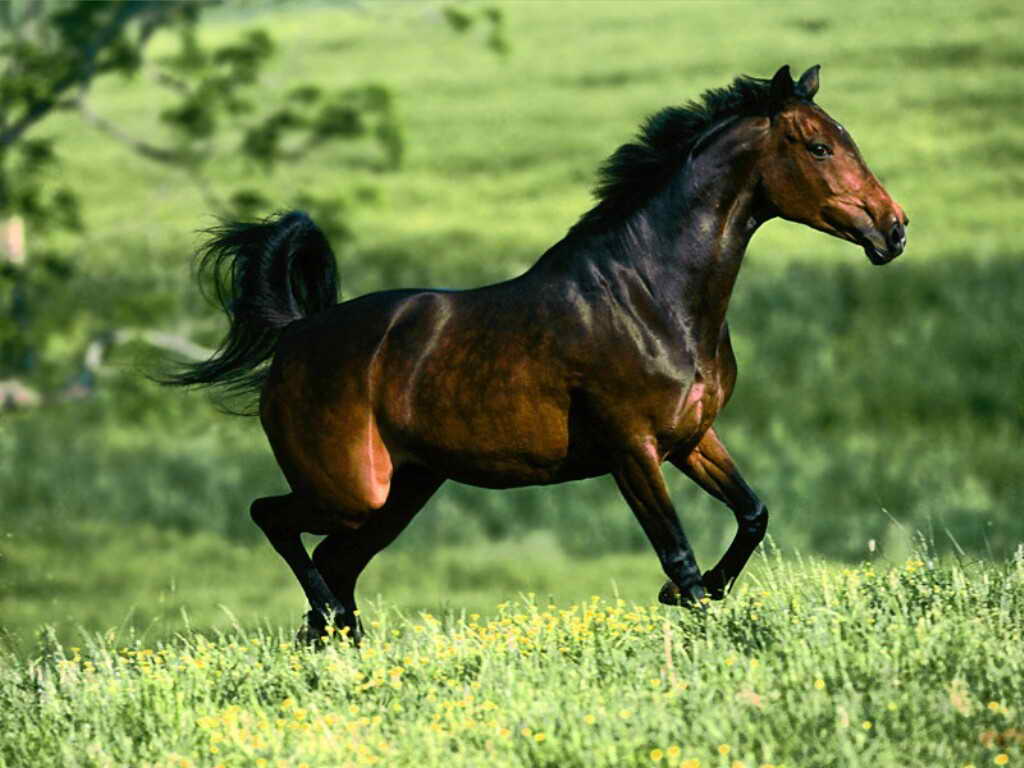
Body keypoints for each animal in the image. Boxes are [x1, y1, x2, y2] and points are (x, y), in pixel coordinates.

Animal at [167, 65, 908, 643]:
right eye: (819, 146)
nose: (893, 229)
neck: (651, 296)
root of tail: (296, 336)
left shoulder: (692, 438)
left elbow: (752, 515)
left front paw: (703, 594)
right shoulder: (631, 450)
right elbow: (679, 555)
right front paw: (688, 607)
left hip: (401, 493)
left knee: (335, 562)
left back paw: (337, 634)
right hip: (349, 490)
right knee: (275, 521)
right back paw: (332, 623)